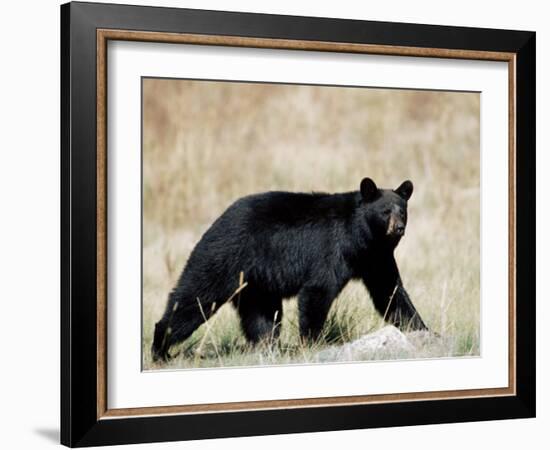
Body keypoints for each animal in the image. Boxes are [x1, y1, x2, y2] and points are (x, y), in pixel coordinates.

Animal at [153, 178, 430, 360]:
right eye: (385, 211)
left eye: (402, 211)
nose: (398, 228)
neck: (362, 238)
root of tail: (217, 221)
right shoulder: (332, 249)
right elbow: (318, 290)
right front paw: (312, 343)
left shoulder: (376, 258)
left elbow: (390, 293)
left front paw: (424, 331)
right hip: (222, 259)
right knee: (195, 299)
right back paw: (160, 350)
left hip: (257, 284)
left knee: (262, 317)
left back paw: (267, 348)